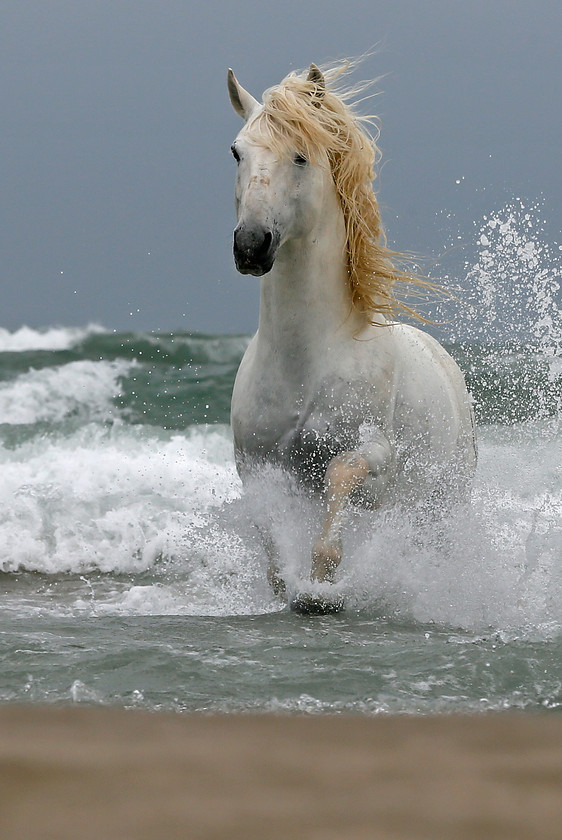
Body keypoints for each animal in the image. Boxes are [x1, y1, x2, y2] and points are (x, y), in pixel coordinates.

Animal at [225, 60, 474, 612]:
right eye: (236, 151)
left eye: (300, 155)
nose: (251, 245)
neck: (305, 360)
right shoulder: (256, 465)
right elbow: (271, 543)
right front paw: (292, 589)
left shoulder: (375, 455)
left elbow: (340, 477)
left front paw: (322, 586)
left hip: (442, 505)